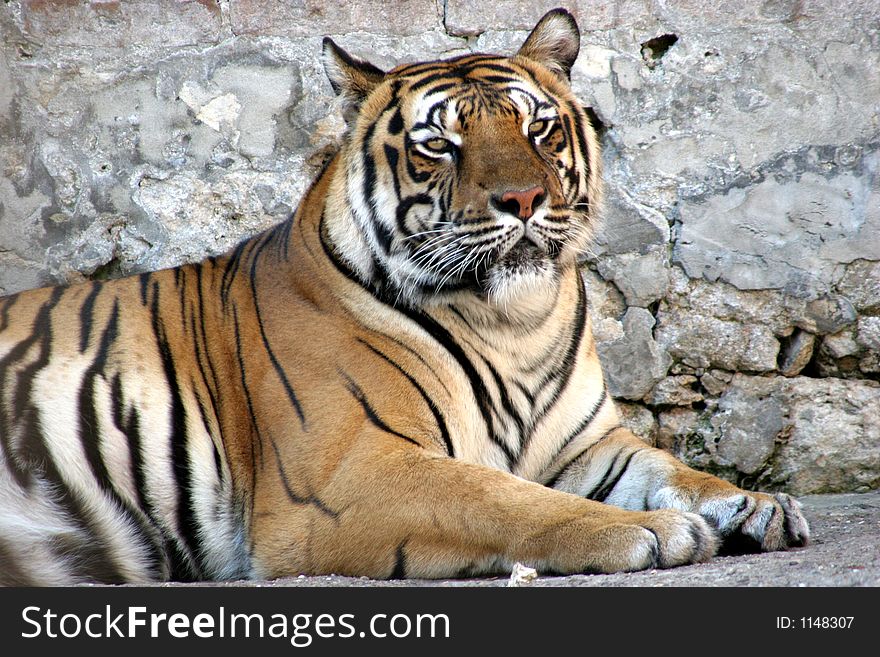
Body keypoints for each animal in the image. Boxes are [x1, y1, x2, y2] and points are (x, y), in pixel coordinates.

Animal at [0, 10, 812, 584]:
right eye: (439, 144)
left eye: (539, 127)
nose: (523, 198)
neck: (514, 321)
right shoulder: (349, 471)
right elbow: (498, 497)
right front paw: (645, 532)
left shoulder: (587, 446)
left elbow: (671, 469)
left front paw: (756, 504)